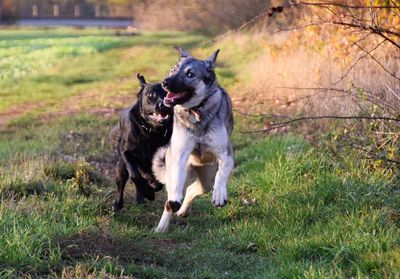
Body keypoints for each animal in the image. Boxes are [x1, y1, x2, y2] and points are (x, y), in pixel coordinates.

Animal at [110, 74, 173, 212]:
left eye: (168, 93)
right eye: (151, 95)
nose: (164, 104)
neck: (151, 132)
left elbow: (158, 180)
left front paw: (152, 186)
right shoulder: (127, 153)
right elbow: (135, 175)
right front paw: (148, 192)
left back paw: (141, 199)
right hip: (120, 167)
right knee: (122, 184)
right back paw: (118, 206)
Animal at [153, 47, 234, 233]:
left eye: (190, 74)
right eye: (173, 69)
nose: (165, 82)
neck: (196, 111)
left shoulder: (226, 155)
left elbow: (221, 174)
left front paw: (219, 194)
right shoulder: (180, 157)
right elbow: (175, 190)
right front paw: (175, 201)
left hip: (207, 179)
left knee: (193, 188)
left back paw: (183, 210)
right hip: (178, 169)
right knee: (172, 197)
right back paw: (163, 225)